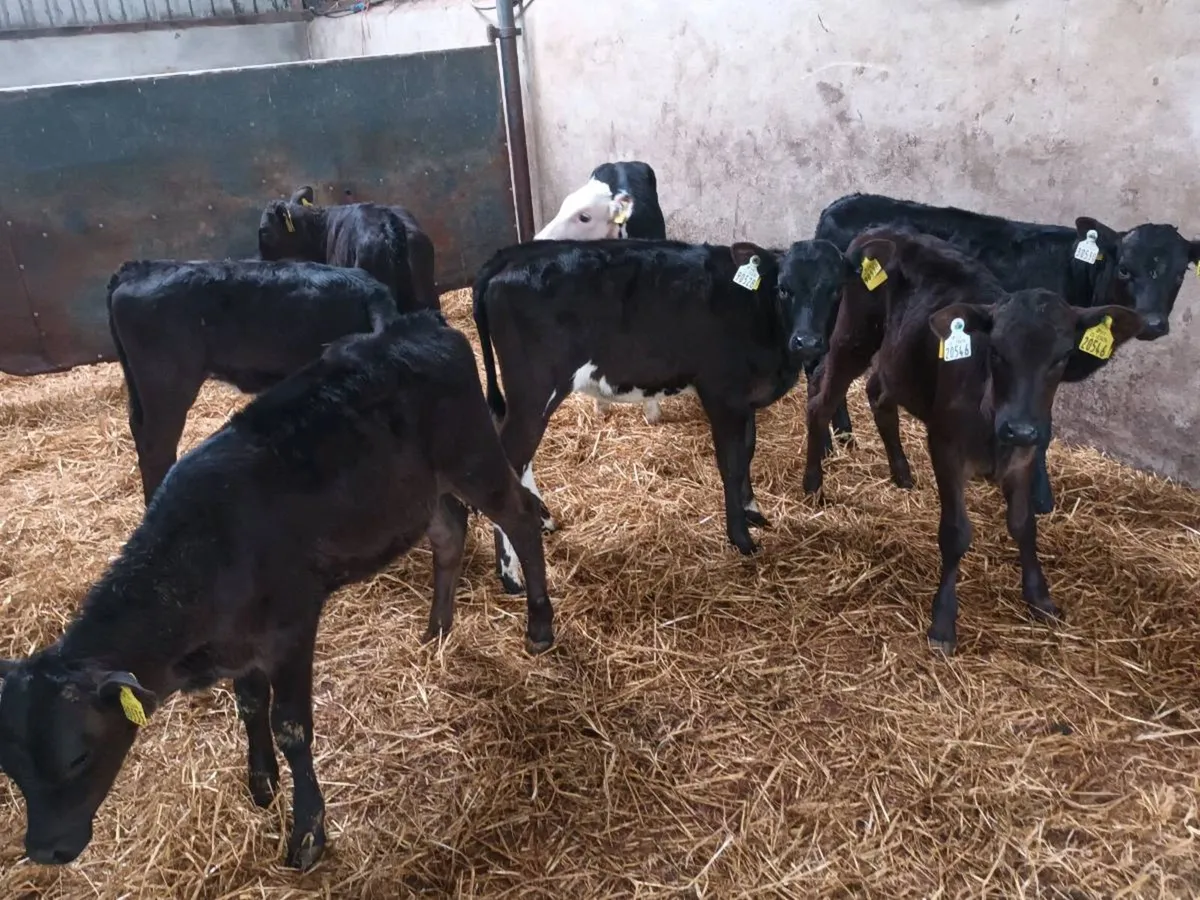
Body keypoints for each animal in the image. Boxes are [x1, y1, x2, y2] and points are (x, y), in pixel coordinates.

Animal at [0, 309, 554, 873]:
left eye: (78, 756)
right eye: (11, 767)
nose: (45, 849)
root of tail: (422, 324)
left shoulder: (292, 627)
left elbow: (292, 727)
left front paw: (307, 832)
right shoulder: (238, 645)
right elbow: (250, 704)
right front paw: (261, 781)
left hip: (475, 458)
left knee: (522, 517)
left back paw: (539, 624)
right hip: (420, 491)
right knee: (449, 533)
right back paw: (437, 630)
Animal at [472, 237, 858, 591]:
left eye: (836, 289)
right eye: (783, 288)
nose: (807, 342)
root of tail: (513, 255)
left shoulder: (743, 400)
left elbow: (748, 452)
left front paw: (753, 512)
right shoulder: (721, 395)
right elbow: (731, 464)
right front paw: (741, 538)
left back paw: (542, 522)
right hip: (534, 393)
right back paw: (511, 576)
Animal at [535, 161, 670, 423]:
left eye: (585, 217)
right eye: (562, 207)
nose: (538, 239)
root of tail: (621, 162)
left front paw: (652, 412)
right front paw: (601, 404)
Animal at [802, 227, 1144, 654]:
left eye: (1063, 356)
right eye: (996, 350)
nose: (1020, 427)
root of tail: (880, 230)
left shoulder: (1025, 454)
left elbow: (1024, 524)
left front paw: (1040, 598)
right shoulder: (946, 448)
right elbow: (956, 532)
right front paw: (943, 621)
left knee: (879, 393)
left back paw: (901, 472)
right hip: (853, 337)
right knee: (821, 400)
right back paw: (813, 483)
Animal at [810, 192, 1200, 515]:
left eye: (1180, 274)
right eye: (1125, 269)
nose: (1153, 323)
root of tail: (839, 205)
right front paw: (1040, 499)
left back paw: (849, 440)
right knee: (819, 371)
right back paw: (831, 442)